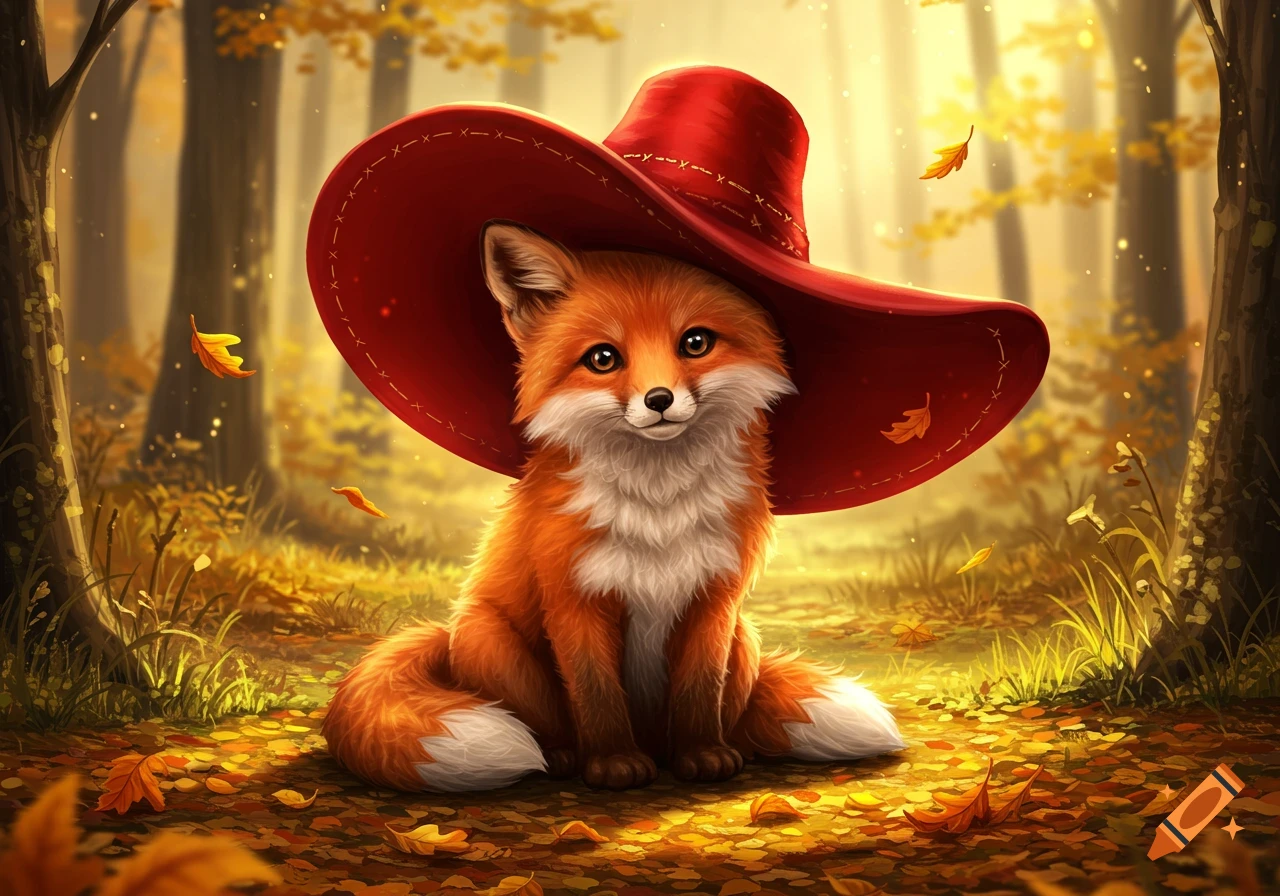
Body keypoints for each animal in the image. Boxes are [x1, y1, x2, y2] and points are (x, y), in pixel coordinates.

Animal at [321, 221, 905, 792]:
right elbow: (596, 692)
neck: (658, 505)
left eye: (695, 342)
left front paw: (703, 755)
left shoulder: (713, 597)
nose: (659, 400)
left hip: (745, 639)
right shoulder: (574, 595)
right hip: (488, 640)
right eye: (603, 358)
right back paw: (564, 758)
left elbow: (699, 689)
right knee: (548, 726)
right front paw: (612, 764)